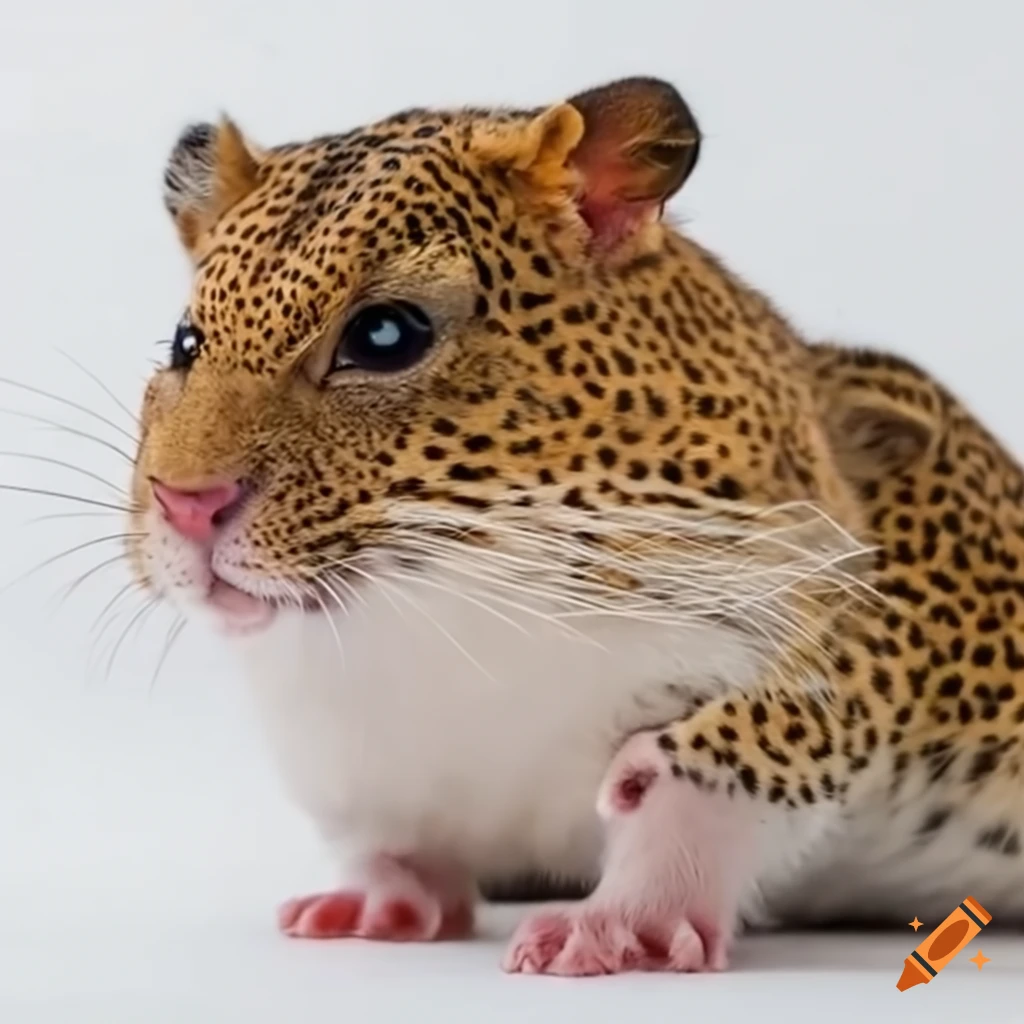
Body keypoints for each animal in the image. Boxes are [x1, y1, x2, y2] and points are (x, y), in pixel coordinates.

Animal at [128, 75, 1024, 976]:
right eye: (186, 342)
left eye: (385, 335)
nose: (185, 502)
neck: (438, 623)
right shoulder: (357, 771)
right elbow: (392, 844)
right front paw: (372, 906)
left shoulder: (852, 650)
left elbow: (698, 774)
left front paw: (614, 928)